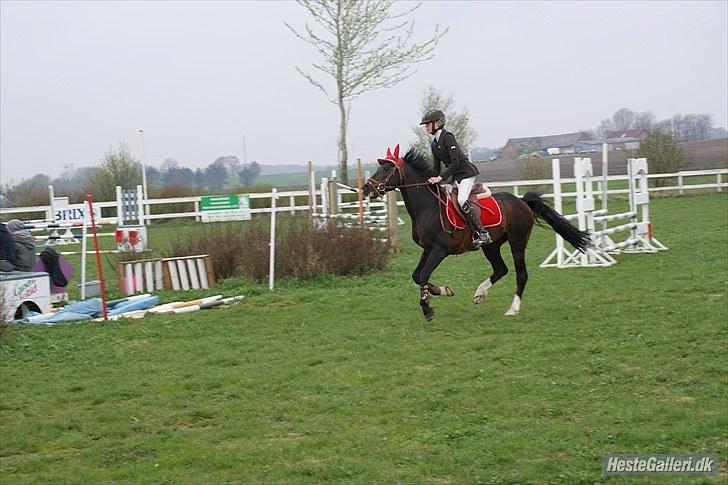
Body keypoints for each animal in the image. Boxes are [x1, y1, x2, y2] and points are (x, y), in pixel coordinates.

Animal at [361, 145, 590, 321]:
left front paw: (427, 309)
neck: (428, 208)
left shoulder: (439, 249)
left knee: (521, 274)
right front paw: (443, 291)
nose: (365, 189)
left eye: (386, 168)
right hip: (491, 245)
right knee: (501, 269)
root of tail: (521, 201)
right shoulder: (427, 249)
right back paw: (480, 293)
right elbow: (418, 276)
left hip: (517, 242)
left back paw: (512, 309)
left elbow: (424, 275)